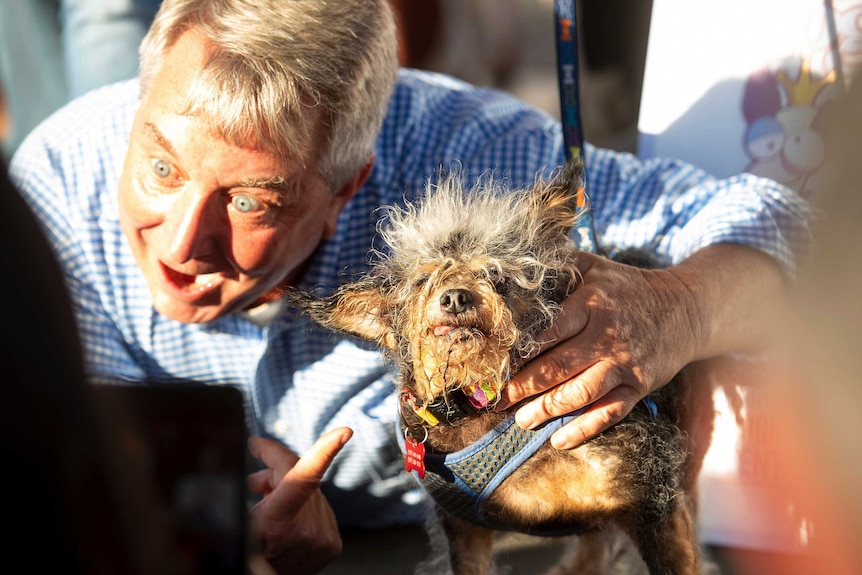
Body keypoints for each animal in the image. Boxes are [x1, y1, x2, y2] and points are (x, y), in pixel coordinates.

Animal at [290, 162, 716, 575]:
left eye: (495, 275)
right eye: (424, 279)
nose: (455, 297)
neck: (475, 400)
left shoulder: (652, 497)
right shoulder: (462, 529)